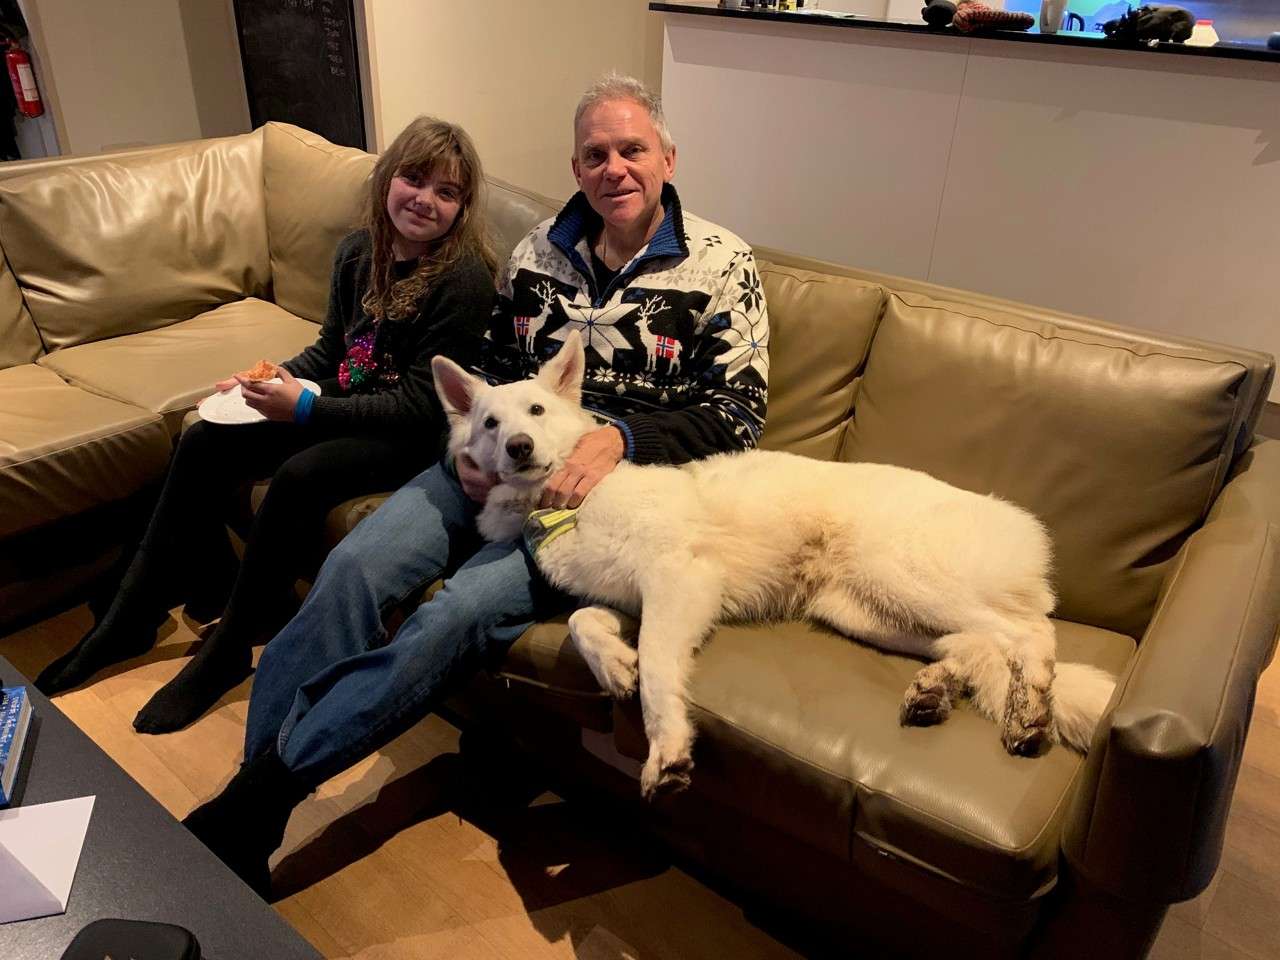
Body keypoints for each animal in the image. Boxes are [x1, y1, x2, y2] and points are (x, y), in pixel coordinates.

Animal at [430, 335, 1111, 798]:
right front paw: (616, 667)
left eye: (536, 414)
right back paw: (937, 693)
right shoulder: (635, 599)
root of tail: (1022, 525)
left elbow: (659, 672)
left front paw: (666, 748)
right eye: (490, 423)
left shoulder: (679, 582)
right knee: (978, 647)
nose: (519, 448)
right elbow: (585, 624)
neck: (568, 502)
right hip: (866, 612)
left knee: (1029, 635)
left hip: (903, 579)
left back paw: (1029, 710)